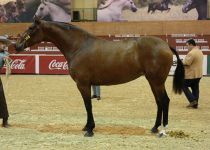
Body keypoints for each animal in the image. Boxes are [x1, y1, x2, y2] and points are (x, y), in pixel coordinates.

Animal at [14, 17, 185, 137]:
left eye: (31, 28)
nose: (16, 46)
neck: (79, 46)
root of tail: (165, 45)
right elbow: (88, 105)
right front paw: (88, 126)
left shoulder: (83, 84)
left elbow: (88, 105)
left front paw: (89, 130)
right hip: (152, 81)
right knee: (159, 102)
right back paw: (155, 127)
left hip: (157, 81)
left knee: (164, 101)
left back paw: (163, 130)